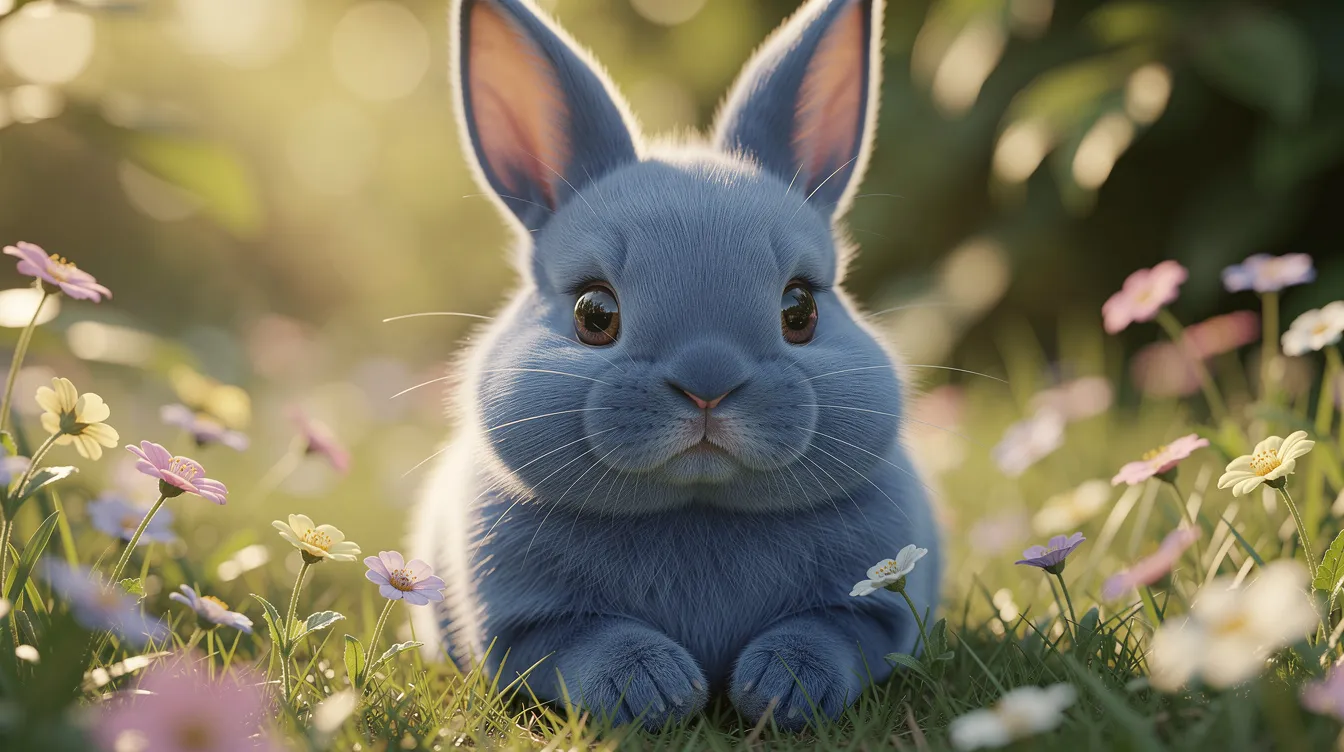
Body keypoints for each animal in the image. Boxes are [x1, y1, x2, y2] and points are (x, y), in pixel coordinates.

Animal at [409, 0, 941, 732]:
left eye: (800, 308)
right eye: (594, 313)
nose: (707, 385)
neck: (698, 504)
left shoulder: (872, 606)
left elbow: (827, 636)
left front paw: (777, 690)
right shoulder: (529, 628)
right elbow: (591, 645)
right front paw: (660, 692)